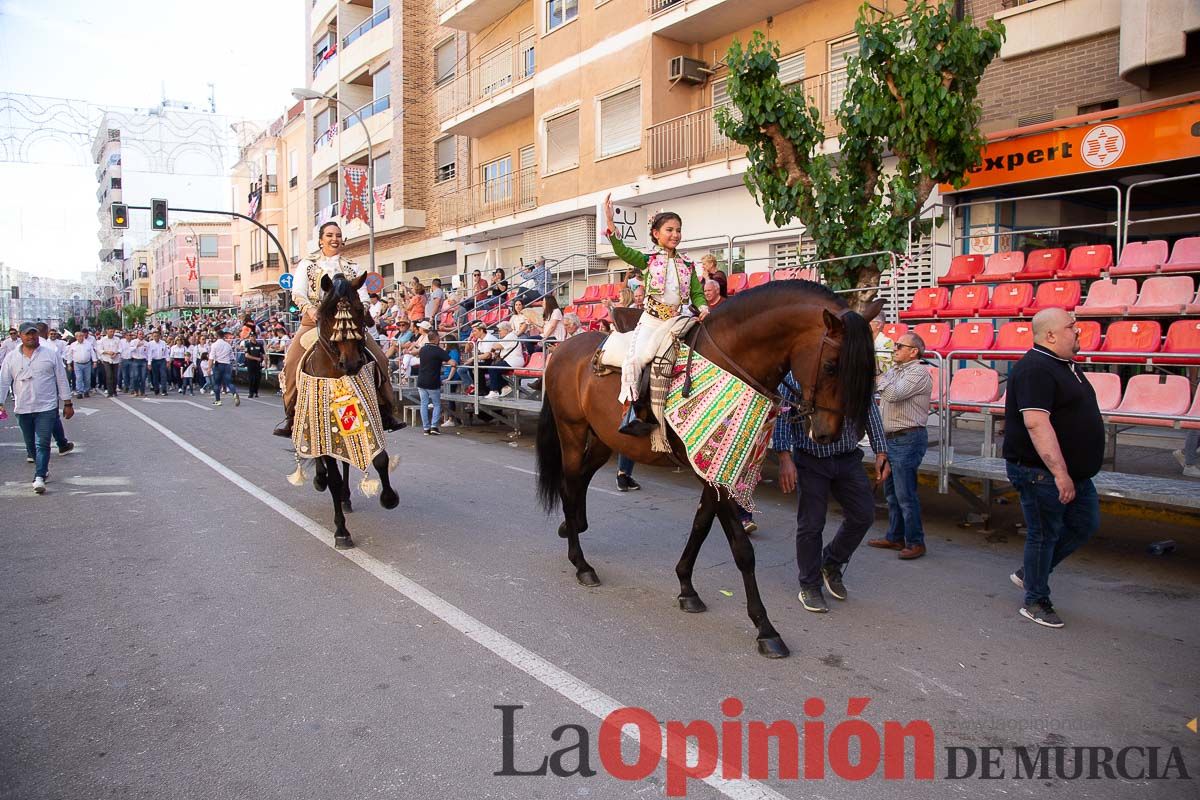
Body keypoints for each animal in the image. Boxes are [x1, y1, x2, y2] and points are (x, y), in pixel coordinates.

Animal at [302, 272, 400, 546]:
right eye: (327, 313)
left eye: (358, 309)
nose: (352, 363)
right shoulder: (324, 430)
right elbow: (333, 478)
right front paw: (341, 531)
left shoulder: (370, 416)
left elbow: (380, 459)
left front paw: (389, 498)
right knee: (324, 465)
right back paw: (320, 480)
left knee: (346, 462)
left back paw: (346, 497)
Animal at [535, 281, 883, 657]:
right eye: (832, 366)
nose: (827, 434)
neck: (731, 360)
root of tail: (563, 349)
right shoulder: (716, 469)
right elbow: (742, 550)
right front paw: (765, 629)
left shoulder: (715, 466)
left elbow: (701, 525)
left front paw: (687, 587)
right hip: (572, 431)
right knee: (569, 485)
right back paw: (581, 563)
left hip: (604, 439)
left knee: (581, 480)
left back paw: (572, 528)